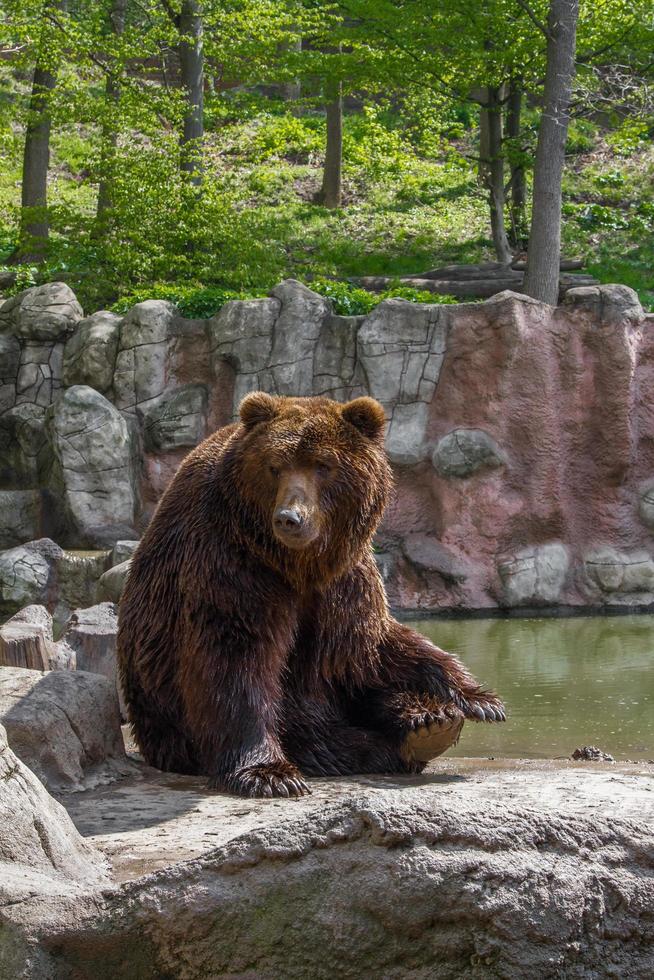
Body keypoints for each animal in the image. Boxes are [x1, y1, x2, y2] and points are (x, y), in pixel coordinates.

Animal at [119, 392, 508, 796]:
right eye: (275, 466)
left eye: (324, 465)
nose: (290, 518)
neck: (297, 564)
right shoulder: (230, 561)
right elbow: (234, 658)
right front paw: (269, 773)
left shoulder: (344, 578)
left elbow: (370, 644)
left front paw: (480, 698)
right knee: (318, 734)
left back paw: (430, 719)